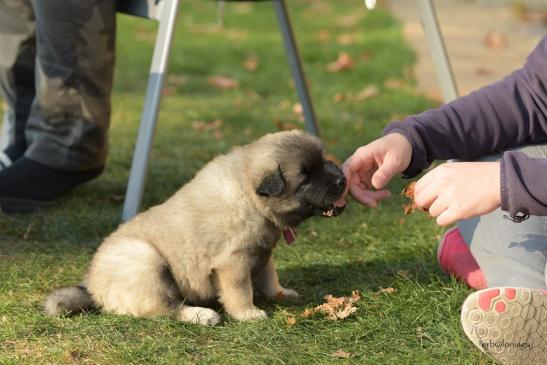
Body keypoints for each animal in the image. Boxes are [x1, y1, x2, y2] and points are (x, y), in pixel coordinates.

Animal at [44, 130, 346, 324]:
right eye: (306, 178)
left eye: (323, 161)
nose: (342, 178)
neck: (251, 197)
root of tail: (92, 288)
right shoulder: (233, 263)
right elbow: (241, 291)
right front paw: (248, 313)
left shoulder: (262, 253)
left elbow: (269, 277)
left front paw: (281, 294)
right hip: (147, 262)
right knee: (165, 309)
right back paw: (202, 315)